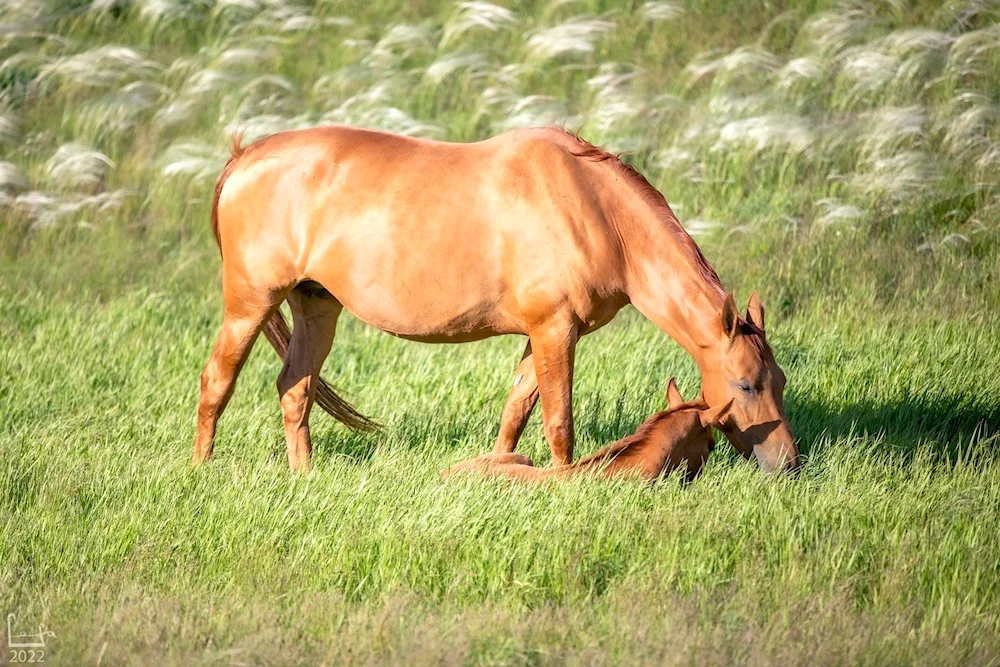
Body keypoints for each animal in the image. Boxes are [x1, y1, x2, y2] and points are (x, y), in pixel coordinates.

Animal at [195, 125, 800, 470]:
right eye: (746, 385)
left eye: (780, 382)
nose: (790, 464)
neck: (592, 206)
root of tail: (244, 157)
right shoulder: (554, 331)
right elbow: (559, 423)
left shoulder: (544, 333)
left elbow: (515, 414)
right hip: (250, 305)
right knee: (216, 383)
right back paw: (202, 473)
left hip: (316, 305)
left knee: (295, 390)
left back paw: (306, 479)